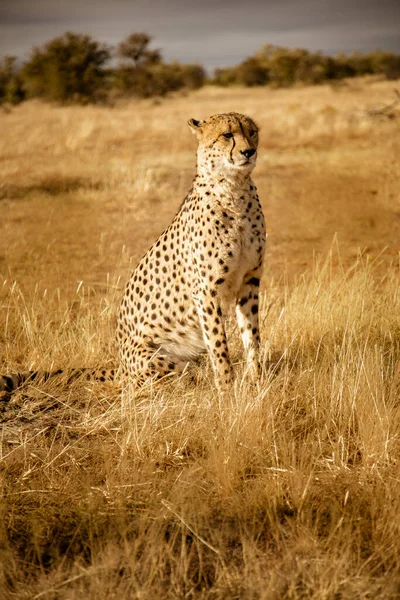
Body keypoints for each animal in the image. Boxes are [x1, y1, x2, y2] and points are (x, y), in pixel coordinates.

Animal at [2, 113, 268, 396]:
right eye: (227, 135)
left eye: (251, 132)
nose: (249, 152)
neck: (234, 189)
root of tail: (120, 363)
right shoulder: (206, 290)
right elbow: (219, 345)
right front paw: (228, 389)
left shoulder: (249, 280)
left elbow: (252, 336)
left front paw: (257, 380)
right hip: (158, 361)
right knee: (166, 379)